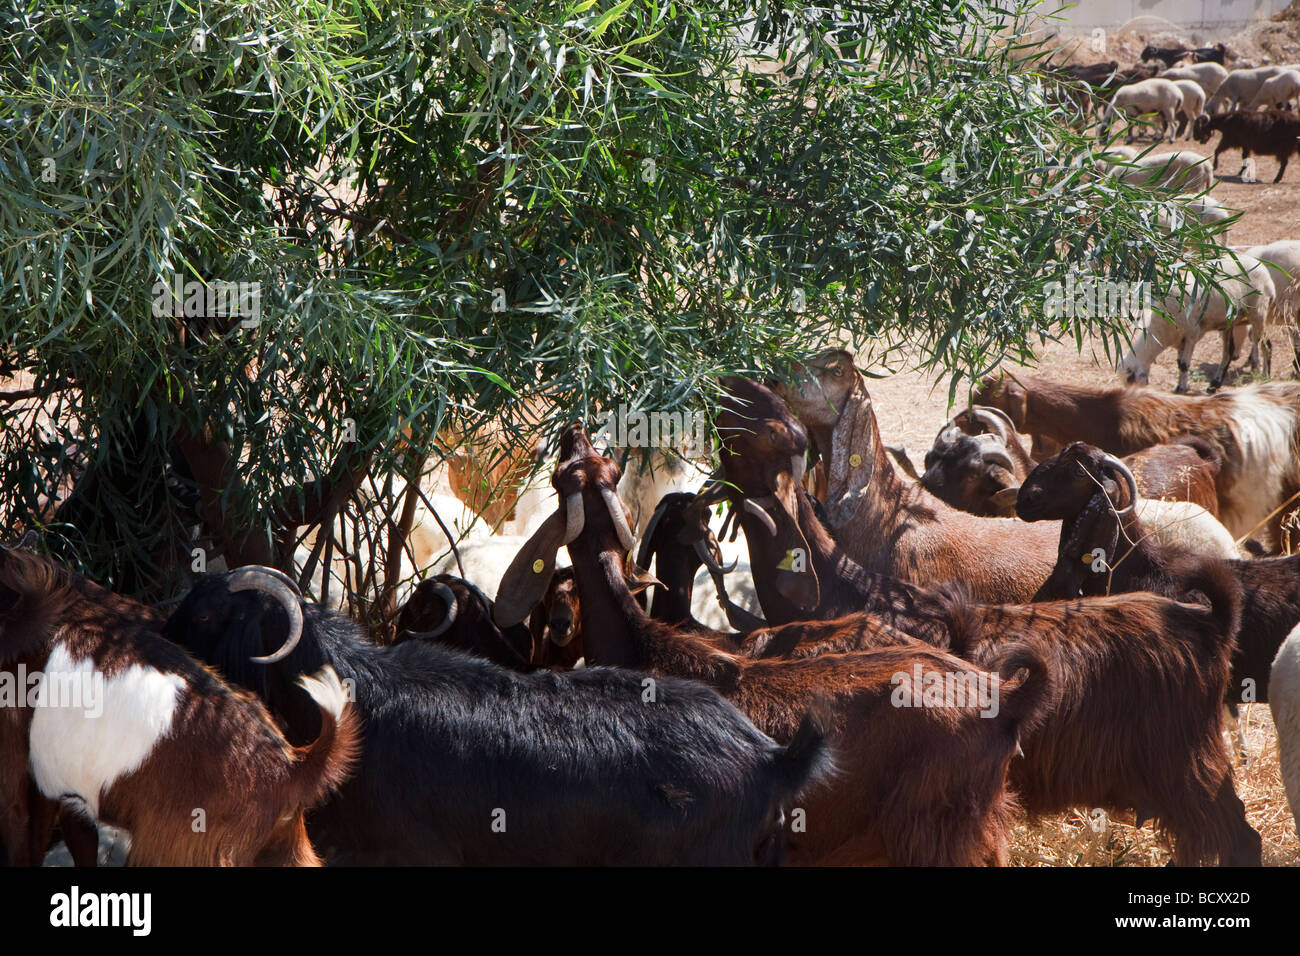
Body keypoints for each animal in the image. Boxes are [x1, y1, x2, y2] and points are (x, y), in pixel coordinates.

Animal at [492, 422, 1052, 866]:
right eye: (593, 469)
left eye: (562, 476)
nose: (573, 432)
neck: (644, 642)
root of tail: (1004, 697)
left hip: (936, 835)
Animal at [710, 378, 1260, 865]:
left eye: (770, 433)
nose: (732, 384)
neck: (840, 588)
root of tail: (1206, 621)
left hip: (1186, 769)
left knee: (1240, 837)